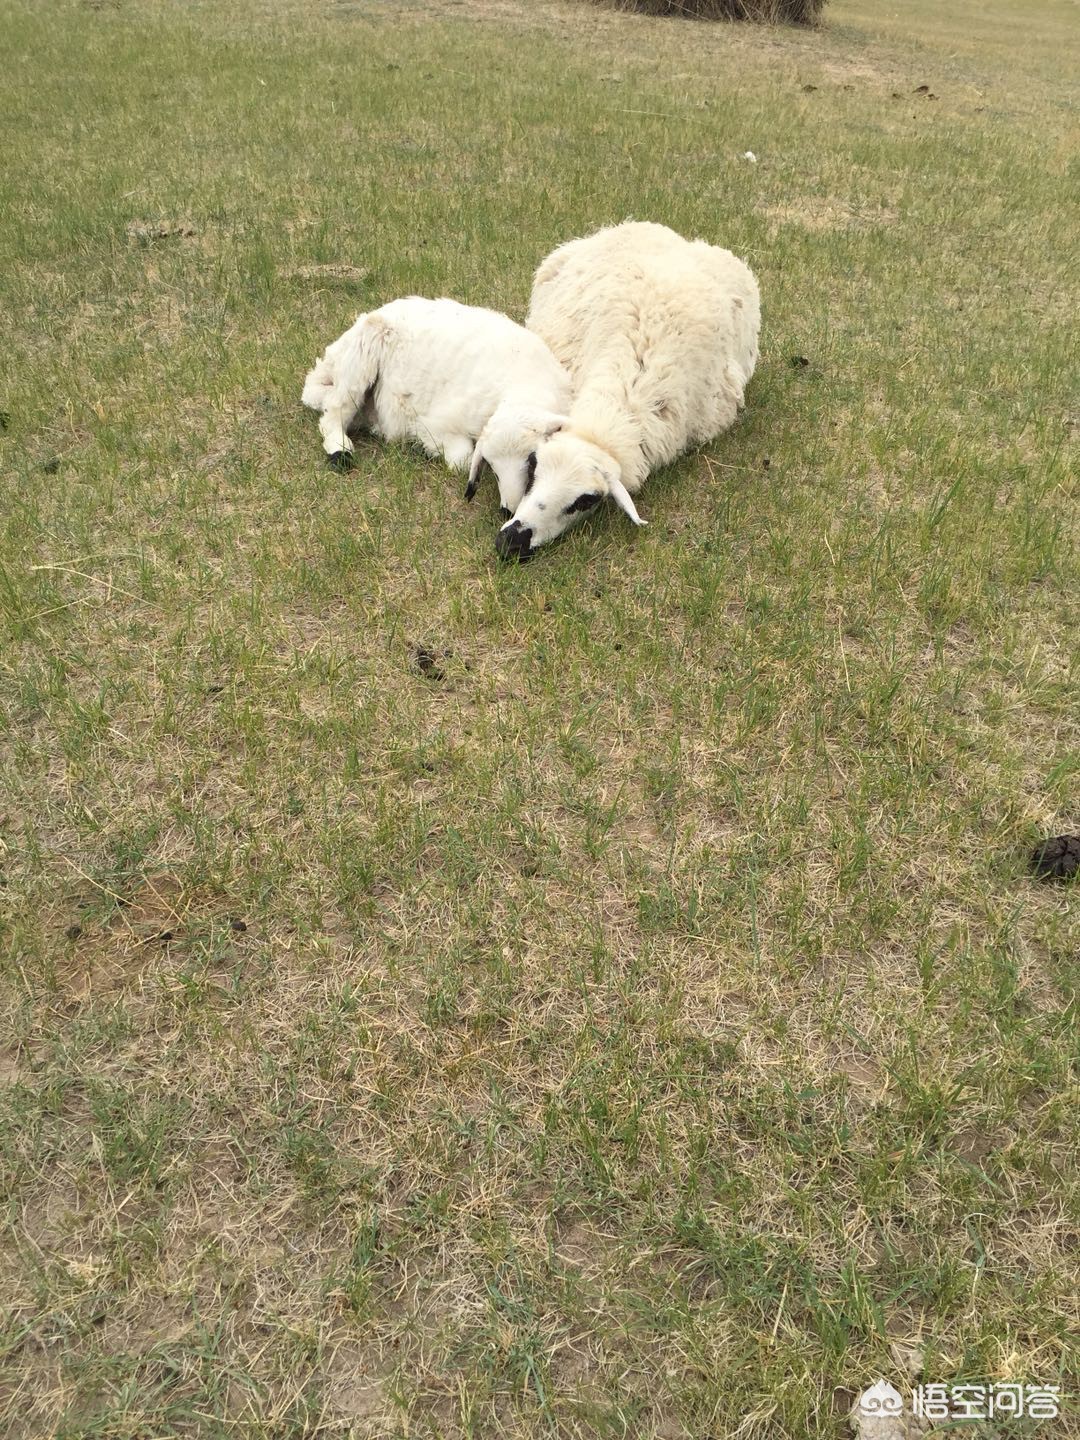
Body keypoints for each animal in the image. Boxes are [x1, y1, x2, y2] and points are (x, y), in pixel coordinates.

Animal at [300, 296, 570, 512]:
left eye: (531, 460)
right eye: (492, 467)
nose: (507, 510)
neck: (524, 383)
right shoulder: (438, 423)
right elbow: (462, 460)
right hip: (363, 351)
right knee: (333, 412)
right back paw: (340, 450)